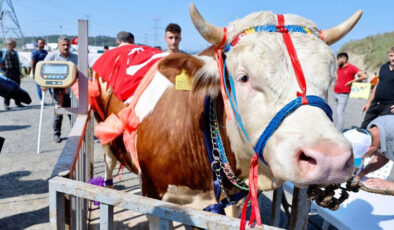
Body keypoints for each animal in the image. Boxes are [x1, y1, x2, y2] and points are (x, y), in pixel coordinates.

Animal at [91, 3, 362, 228]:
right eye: (243, 77)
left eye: (331, 77)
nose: (330, 159)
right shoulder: (152, 197)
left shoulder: (229, 205)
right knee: (109, 164)